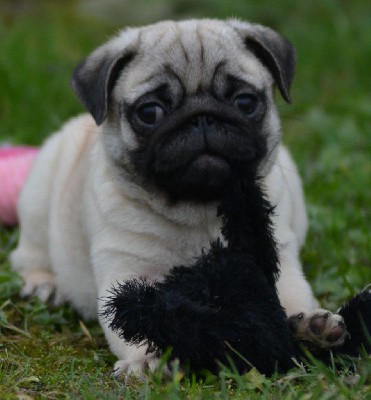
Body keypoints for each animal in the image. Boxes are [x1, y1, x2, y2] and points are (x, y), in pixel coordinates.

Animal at [10, 18, 348, 376]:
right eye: (150, 112)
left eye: (244, 102)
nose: (201, 117)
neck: (197, 208)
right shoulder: (126, 272)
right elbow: (132, 317)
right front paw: (144, 361)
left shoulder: (275, 257)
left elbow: (291, 295)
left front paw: (311, 327)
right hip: (39, 195)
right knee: (29, 253)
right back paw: (45, 284)